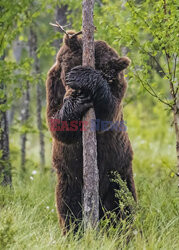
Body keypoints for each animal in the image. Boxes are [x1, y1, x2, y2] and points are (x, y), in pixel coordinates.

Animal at [45, 31, 136, 232]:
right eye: (68, 70)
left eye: (104, 74)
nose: (78, 92)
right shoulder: (53, 86)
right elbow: (57, 123)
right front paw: (76, 102)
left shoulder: (117, 87)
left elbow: (108, 112)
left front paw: (86, 78)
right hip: (70, 180)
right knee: (69, 210)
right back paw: (74, 232)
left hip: (117, 173)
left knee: (123, 207)